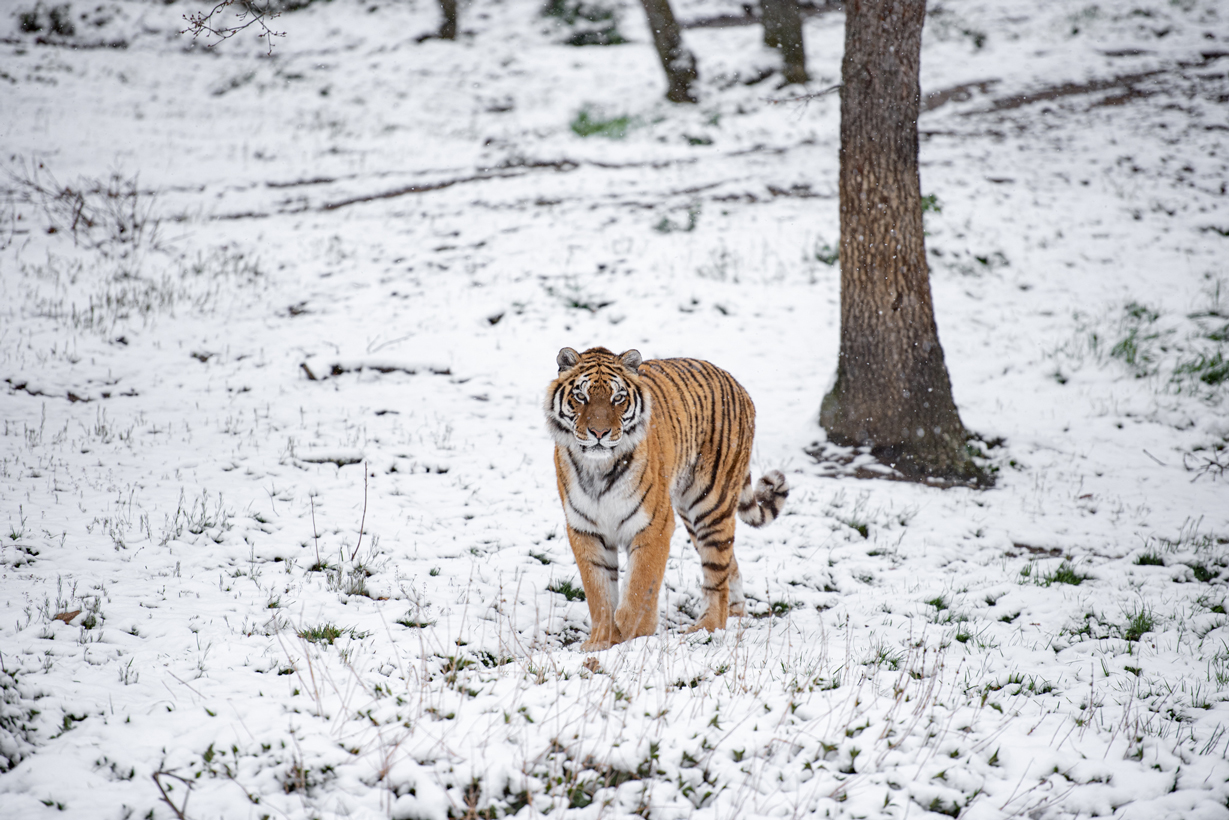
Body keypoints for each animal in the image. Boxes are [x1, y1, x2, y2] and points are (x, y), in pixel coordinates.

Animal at [545, 349, 786, 654]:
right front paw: (601, 641)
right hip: (691, 514)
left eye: (617, 398)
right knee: (729, 564)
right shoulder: (585, 529)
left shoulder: (654, 525)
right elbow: (598, 593)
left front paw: (633, 634)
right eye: (581, 396)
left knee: (716, 575)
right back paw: (736, 612)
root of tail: (737, 384)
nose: (598, 433)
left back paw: (706, 628)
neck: (598, 468)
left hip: (710, 506)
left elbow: (640, 586)